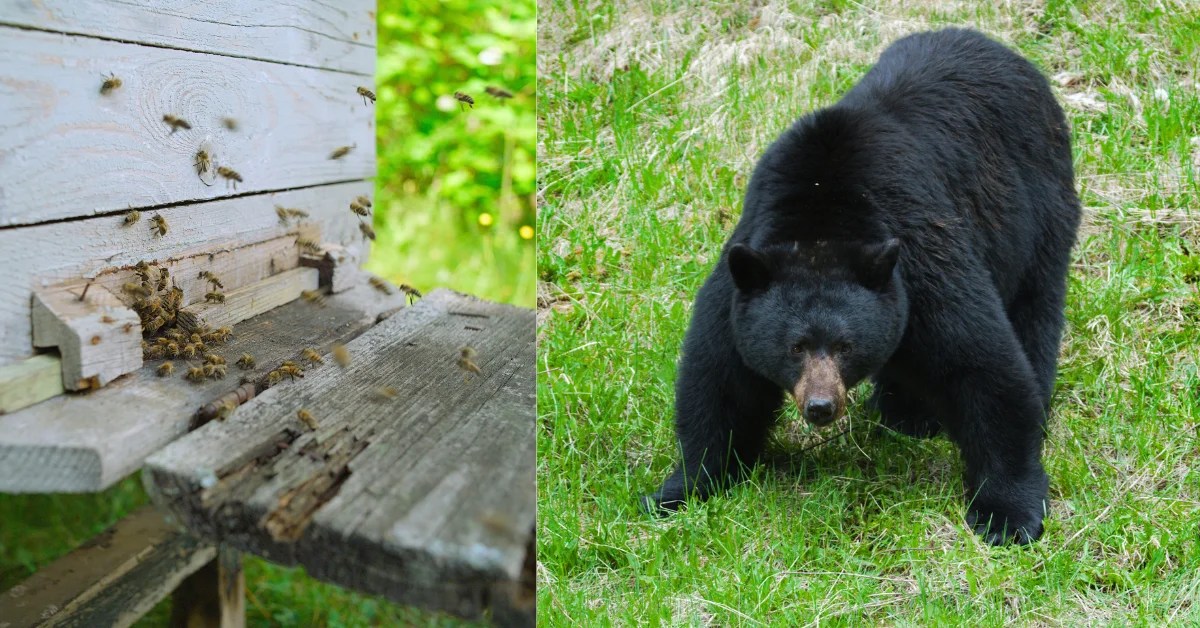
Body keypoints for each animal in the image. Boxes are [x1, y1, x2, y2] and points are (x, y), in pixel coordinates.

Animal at [641, 28, 1081, 546]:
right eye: (795, 347)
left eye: (845, 345)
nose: (820, 406)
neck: (821, 219)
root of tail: (999, 48)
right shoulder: (740, 280)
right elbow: (720, 382)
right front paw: (679, 491)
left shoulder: (922, 259)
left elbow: (981, 365)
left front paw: (1007, 514)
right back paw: (905, 414)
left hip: (1041, 205)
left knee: (1035, 306)